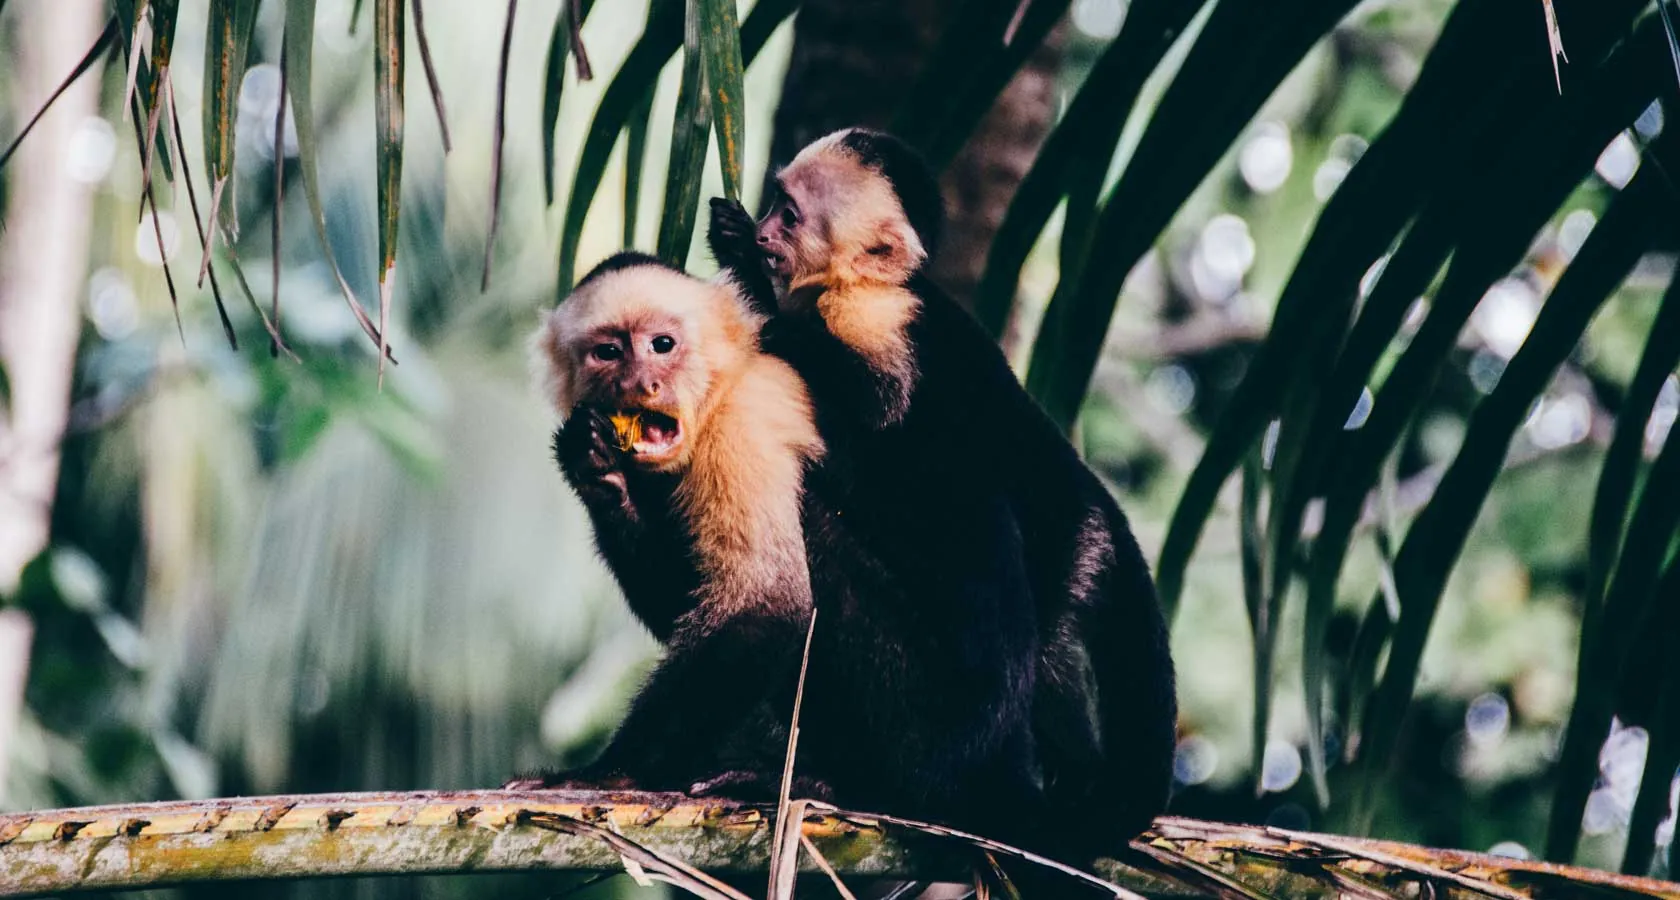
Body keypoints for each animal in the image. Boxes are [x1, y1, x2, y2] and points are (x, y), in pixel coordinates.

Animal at [519, 252, 1053, 852]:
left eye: (662, 344)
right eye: (608, 352)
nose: (642, 382)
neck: (720, 387)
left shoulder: (743, 422)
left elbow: (765, 607)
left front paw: (612, 770)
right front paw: (597, 471)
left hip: (932, 719)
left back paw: (851, 783)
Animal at [707, 127, 1178, 860]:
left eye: (790, 214)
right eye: (774, 204)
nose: (762, 234)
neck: (860, 282)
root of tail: (1097, 499)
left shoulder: (876, 318)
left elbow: (872, 407)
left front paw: (759, 295)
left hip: (1063, 544)